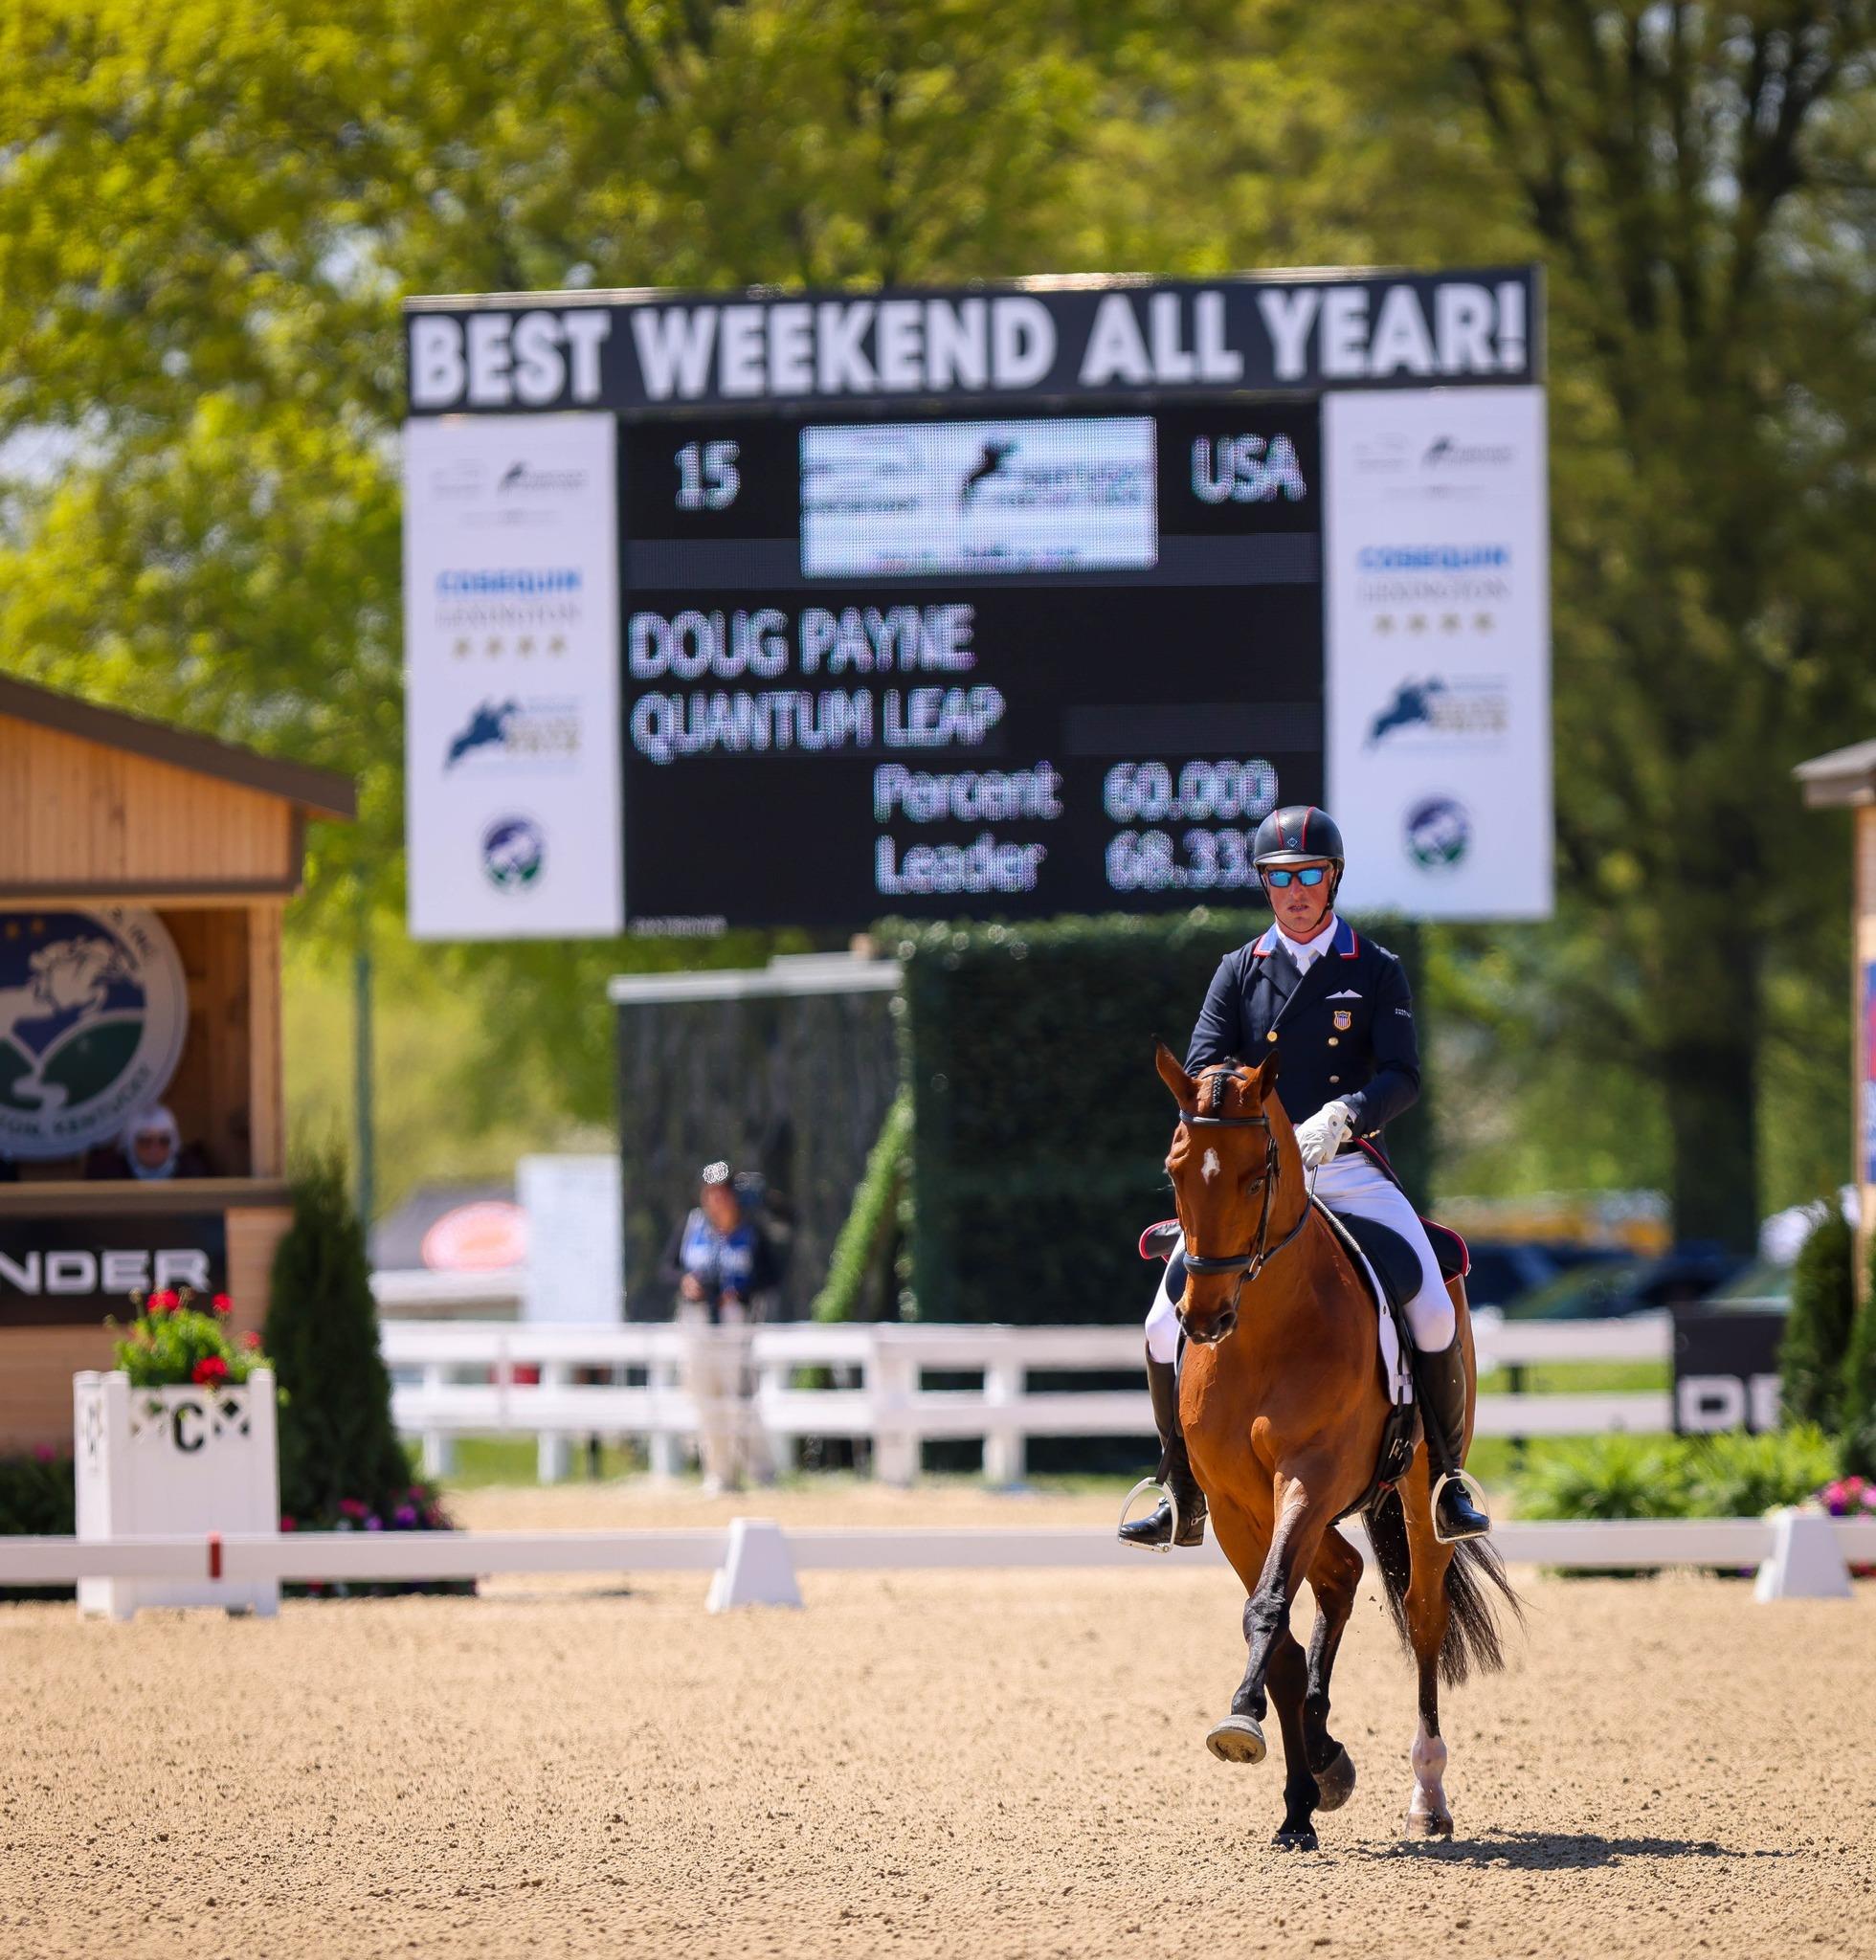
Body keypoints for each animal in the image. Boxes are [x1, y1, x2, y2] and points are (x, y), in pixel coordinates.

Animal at [1145, 1050, 1521, 1842]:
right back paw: (1319, 1754)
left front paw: (1252, 1727)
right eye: (1175, 1169)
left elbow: (1270, 1607)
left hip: (1416, 1495)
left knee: (1422, 1613)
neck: (1263, 1332)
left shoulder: (1309, 1480)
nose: (1203, 1318)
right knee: (1342, 1574)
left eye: (1258, 1174)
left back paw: (1428, 1795)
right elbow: (1280, 1633)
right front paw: (1301, 1792)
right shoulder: (1236, 1505)